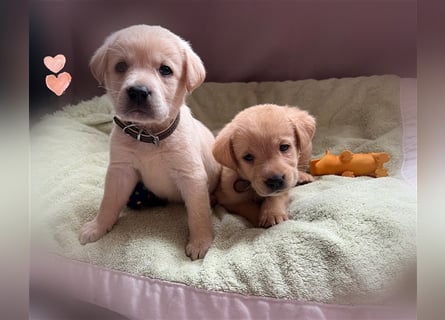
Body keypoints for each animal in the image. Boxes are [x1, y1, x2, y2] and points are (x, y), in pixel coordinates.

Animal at [79, 24, 220, 260]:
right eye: (121, 66)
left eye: (165, 70)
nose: (138, 91)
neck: (149, 135)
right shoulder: (120, 171)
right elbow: (108, 202)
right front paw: (97, 227)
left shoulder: (192, 176)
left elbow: (198, 213)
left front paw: (200, 242)